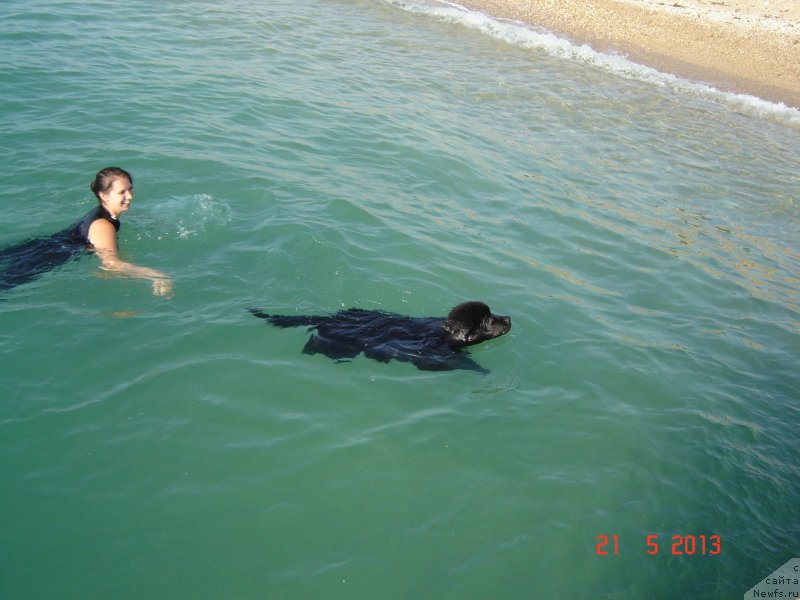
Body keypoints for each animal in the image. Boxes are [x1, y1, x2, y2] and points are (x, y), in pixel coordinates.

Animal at [250, 302, 512, 372]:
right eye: (489, 320)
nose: (509, 318)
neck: (446, 331)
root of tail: (331, 317)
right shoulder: (434, 356)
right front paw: (482, 370)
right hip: (338, 344)